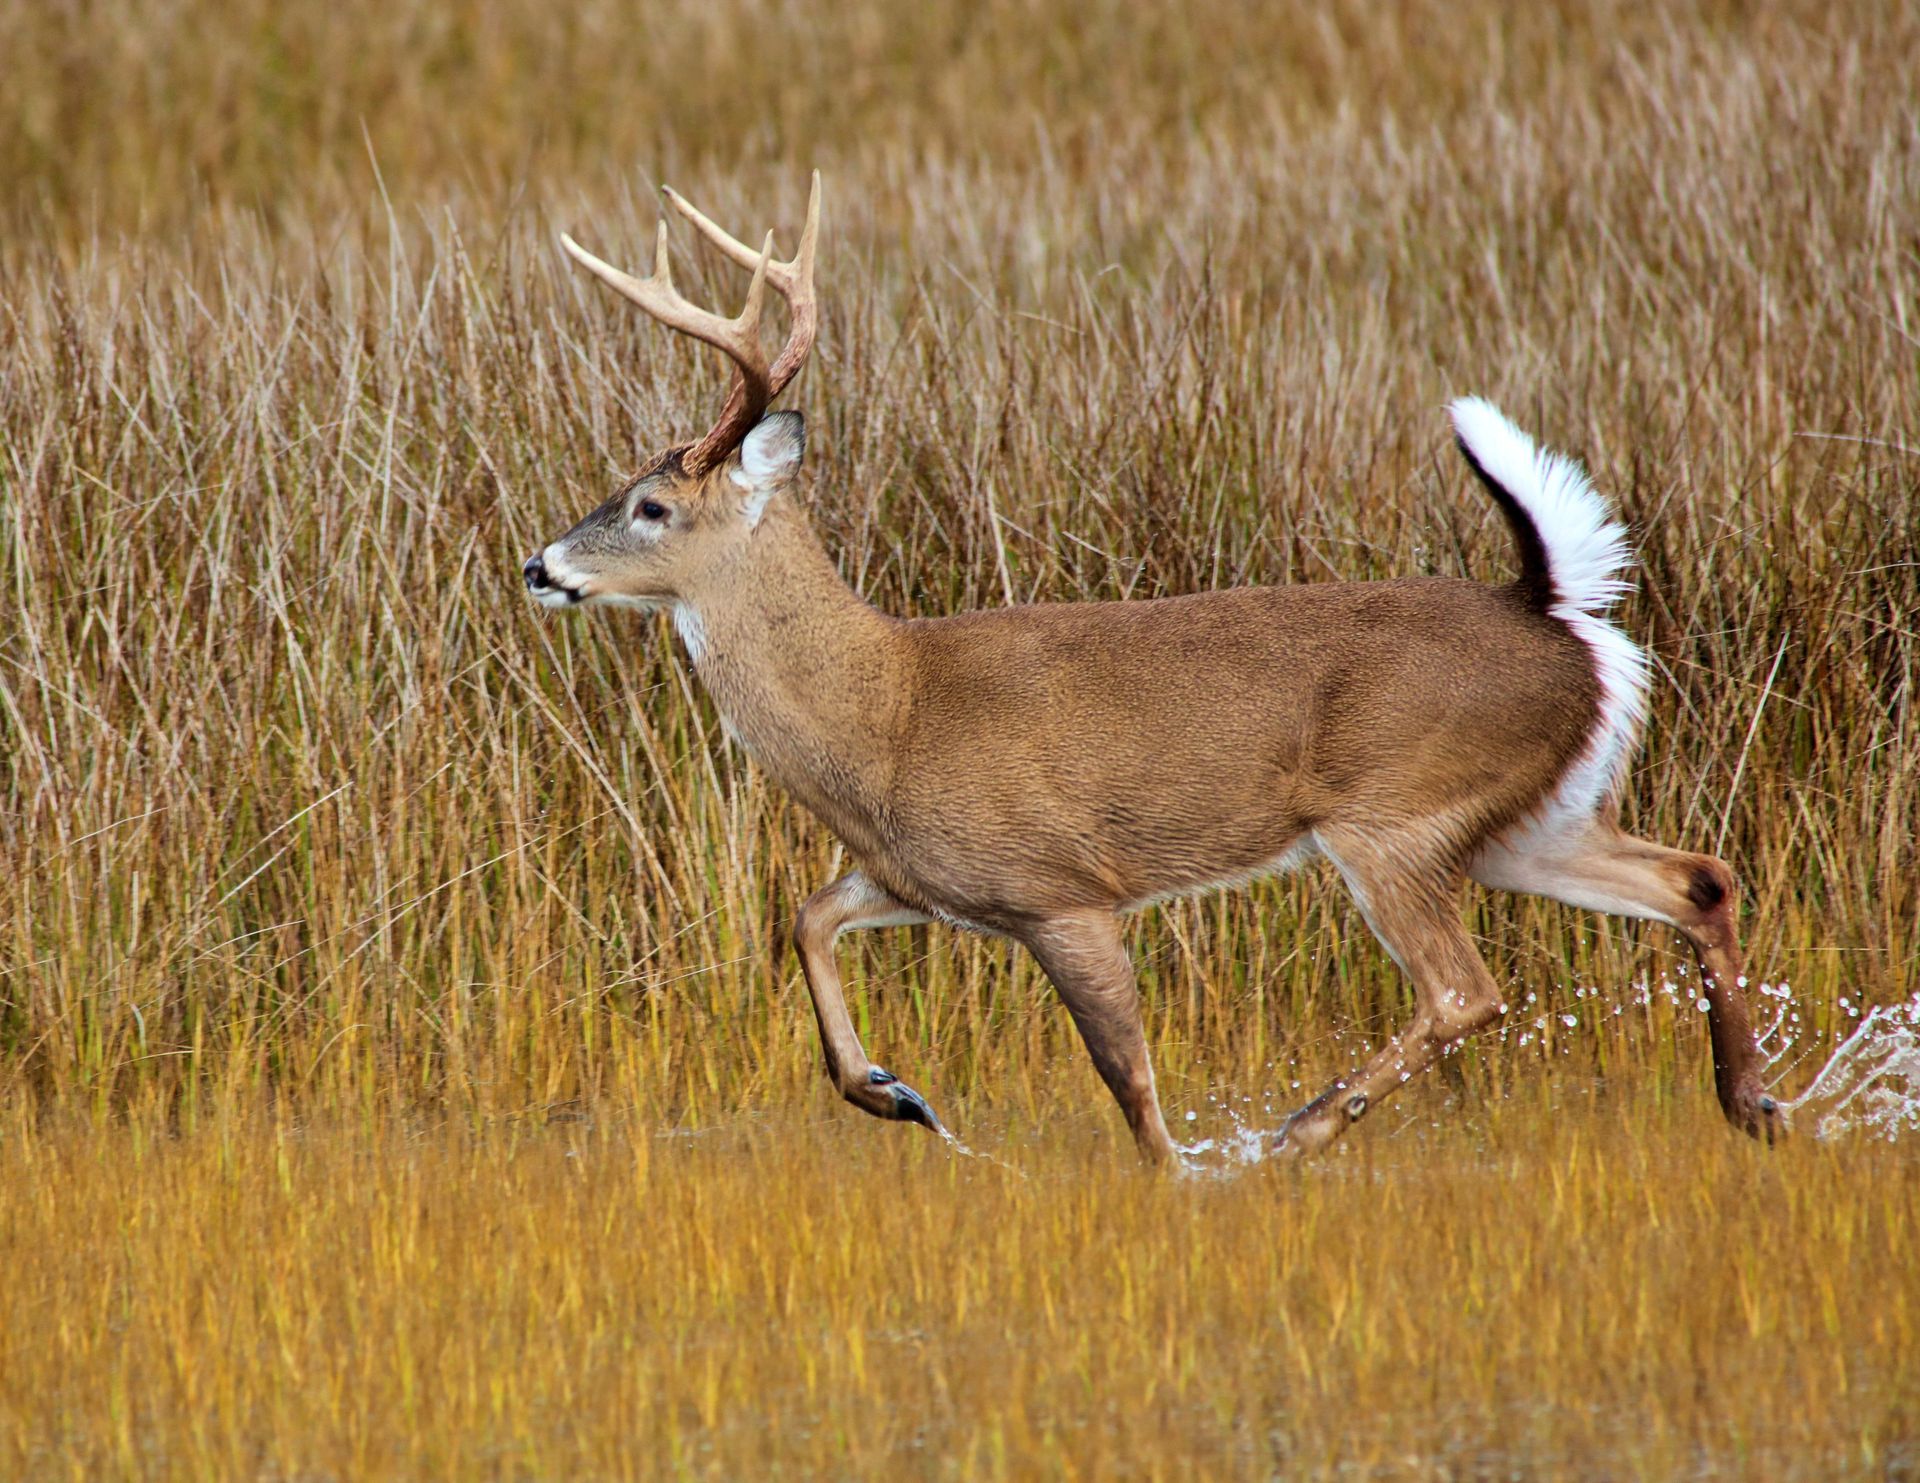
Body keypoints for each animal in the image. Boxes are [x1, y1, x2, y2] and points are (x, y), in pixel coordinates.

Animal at [523, 172, 1783, 1163]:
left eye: (650, 504)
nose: (539, 565)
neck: (888, 713)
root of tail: (1555, 610)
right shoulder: (928, 878)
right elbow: (805, 916)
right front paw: (895, 1094)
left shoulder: (1059, 887)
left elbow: (1128, 1081)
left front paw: (1181, 1178)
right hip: (1527, 817)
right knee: (1697, 878)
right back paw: (1753, 1105)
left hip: (1392, 815)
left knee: (1467, 987)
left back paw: (1299, 1131)